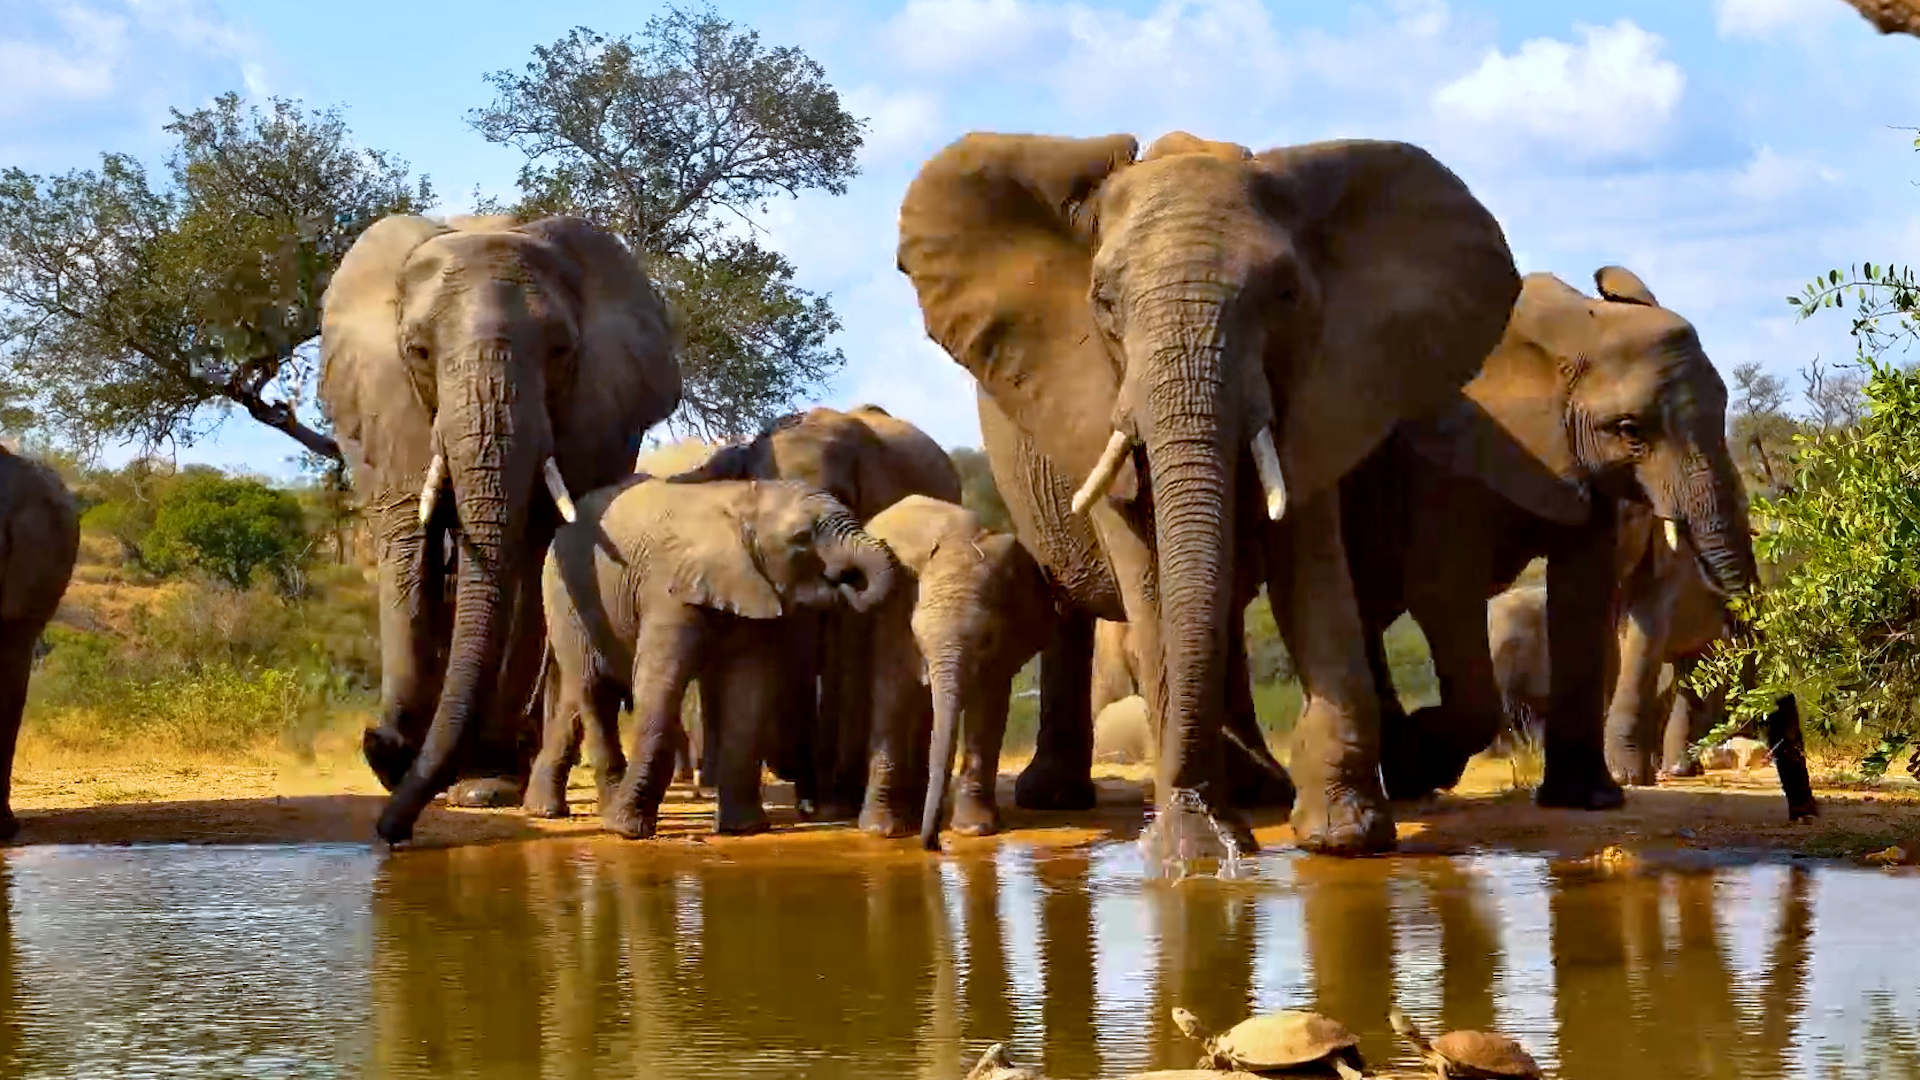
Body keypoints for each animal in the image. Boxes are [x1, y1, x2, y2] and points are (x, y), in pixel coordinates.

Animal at [318, 212, 681, 845]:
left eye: (560, 352)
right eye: (417, 351)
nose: (392, 832)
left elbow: (533, 560)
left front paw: (483, 789)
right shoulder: (387, 404)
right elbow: (406, 538)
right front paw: (401, 761)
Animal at [531, 474, 895, 837]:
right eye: (802, 538)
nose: (844, 581)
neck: (743, 501)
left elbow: (748, 690)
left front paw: (744, 829)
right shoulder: (668, 590)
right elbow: (659, 681)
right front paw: (628, 831)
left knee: (576, 695)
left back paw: (546, 809)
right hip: (564, 596)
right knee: (595, 687)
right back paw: (606, 816)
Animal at [843, 494, 1055, 845]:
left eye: (987, 639)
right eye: (918, 634)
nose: (933, 844)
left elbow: (989, 708)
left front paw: (974, 829)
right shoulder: (892, 616)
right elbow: (891, 695)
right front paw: (881, 831)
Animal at [897, 130, 1522, 852]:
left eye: (1285, 295)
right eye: (1103, 300)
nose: (1209, 826)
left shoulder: (1322, 385)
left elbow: (1312, 571)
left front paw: (1344, 836)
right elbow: (1149, 579)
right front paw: (1193, 844)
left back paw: (1255, 791)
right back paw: (1067, 797)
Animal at [1342, 266, 1758, 813]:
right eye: (1630, 430)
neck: (1574, 329)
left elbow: (1584, 595)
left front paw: (1592, 799)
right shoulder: (1444, 459)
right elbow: (1442, 588)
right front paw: (1423, 755)